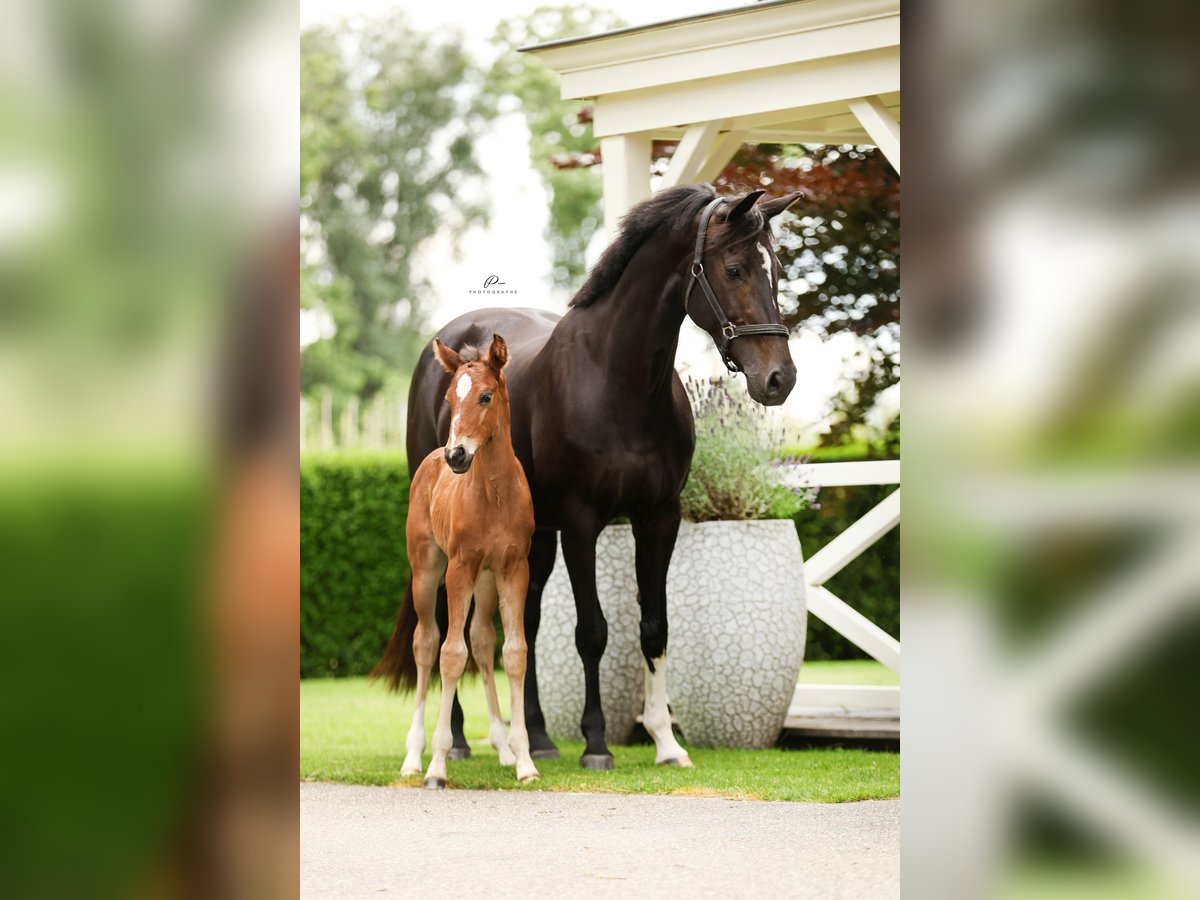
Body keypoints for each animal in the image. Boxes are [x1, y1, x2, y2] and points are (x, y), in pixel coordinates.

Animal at [400, 333, 537, 787]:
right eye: (449, 397)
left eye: (485, 396)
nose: (456, 455)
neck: (493, 493)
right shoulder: (459, 569)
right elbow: (450, 655)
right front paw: (438, 766)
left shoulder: (515, 568)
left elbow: (514, 652)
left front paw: (525, 760)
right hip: (427, 572)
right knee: (426, 644)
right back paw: (413, 756)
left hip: (486, 580)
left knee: (481, 638)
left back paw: (502, 748)